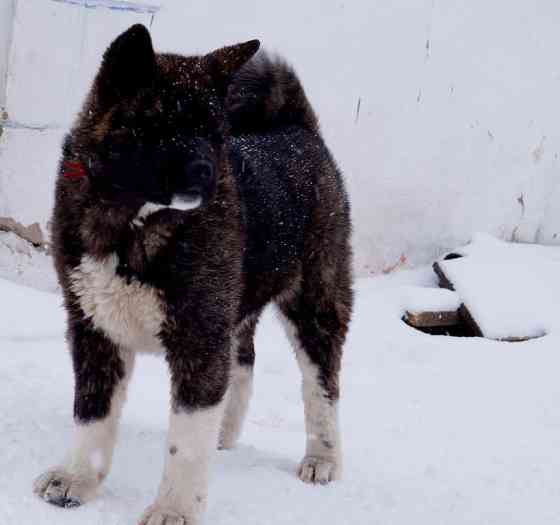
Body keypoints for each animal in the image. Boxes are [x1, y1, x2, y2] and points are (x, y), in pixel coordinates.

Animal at [34, 22, 350, 520]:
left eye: (213, 133)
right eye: (160, 125)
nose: (205, 169)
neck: (133, 222)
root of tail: (296, 127)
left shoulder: (198, 337)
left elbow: (185, 441)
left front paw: (174, 510)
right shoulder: (93, 327)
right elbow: (92, 412)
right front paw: (77, 480)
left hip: (314, 299)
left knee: (321, 384)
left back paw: (323, 458)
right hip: (237, 306)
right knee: (243, 361)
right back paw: (225, 432)